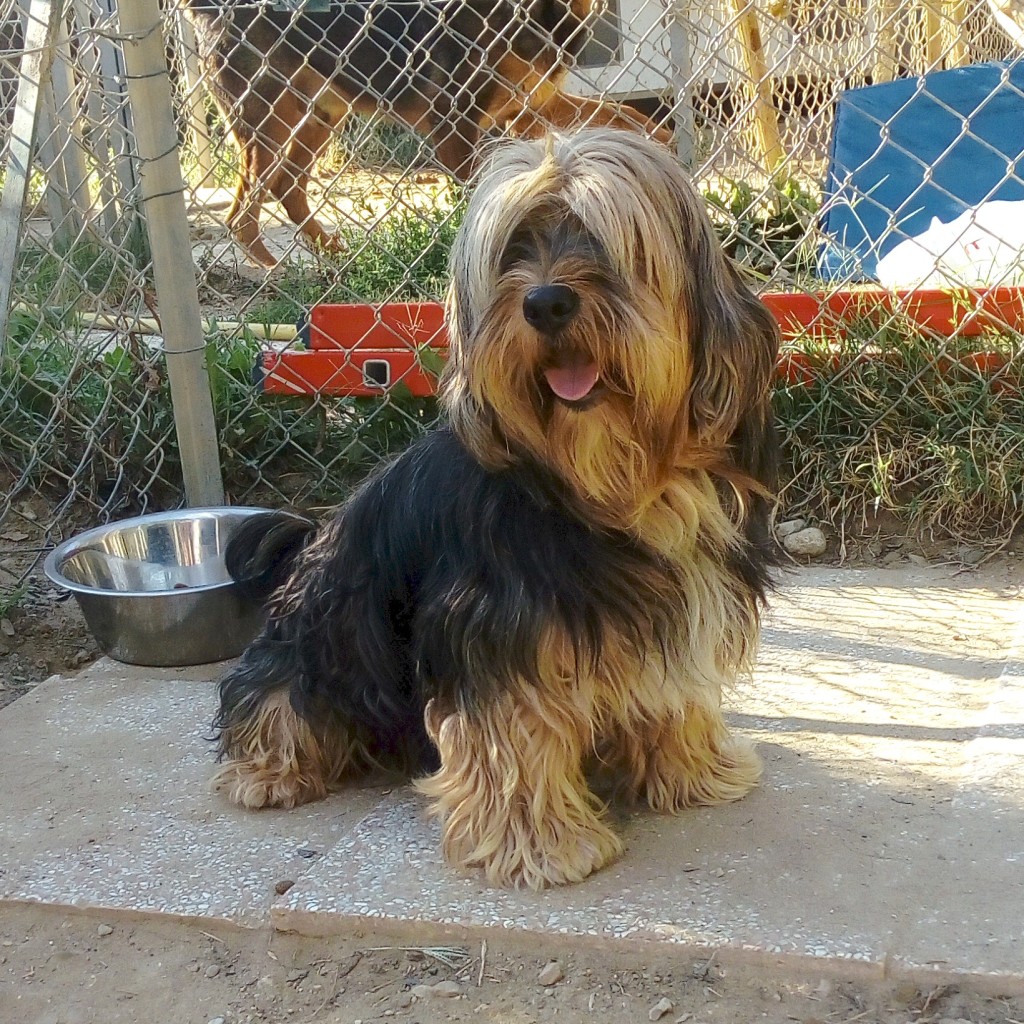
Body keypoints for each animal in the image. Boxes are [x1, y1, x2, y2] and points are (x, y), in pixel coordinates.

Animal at [211, 130, 778, 888]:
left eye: (600, 238)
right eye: (515, 248)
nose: (545, 303)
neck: (608, 481)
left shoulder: (680, 604)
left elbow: (673, 689)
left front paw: (695, 769)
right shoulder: (495, 628)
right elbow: (514, 735)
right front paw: (541, 844)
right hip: (315, 647)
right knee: (270, 702)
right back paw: (268, 773)